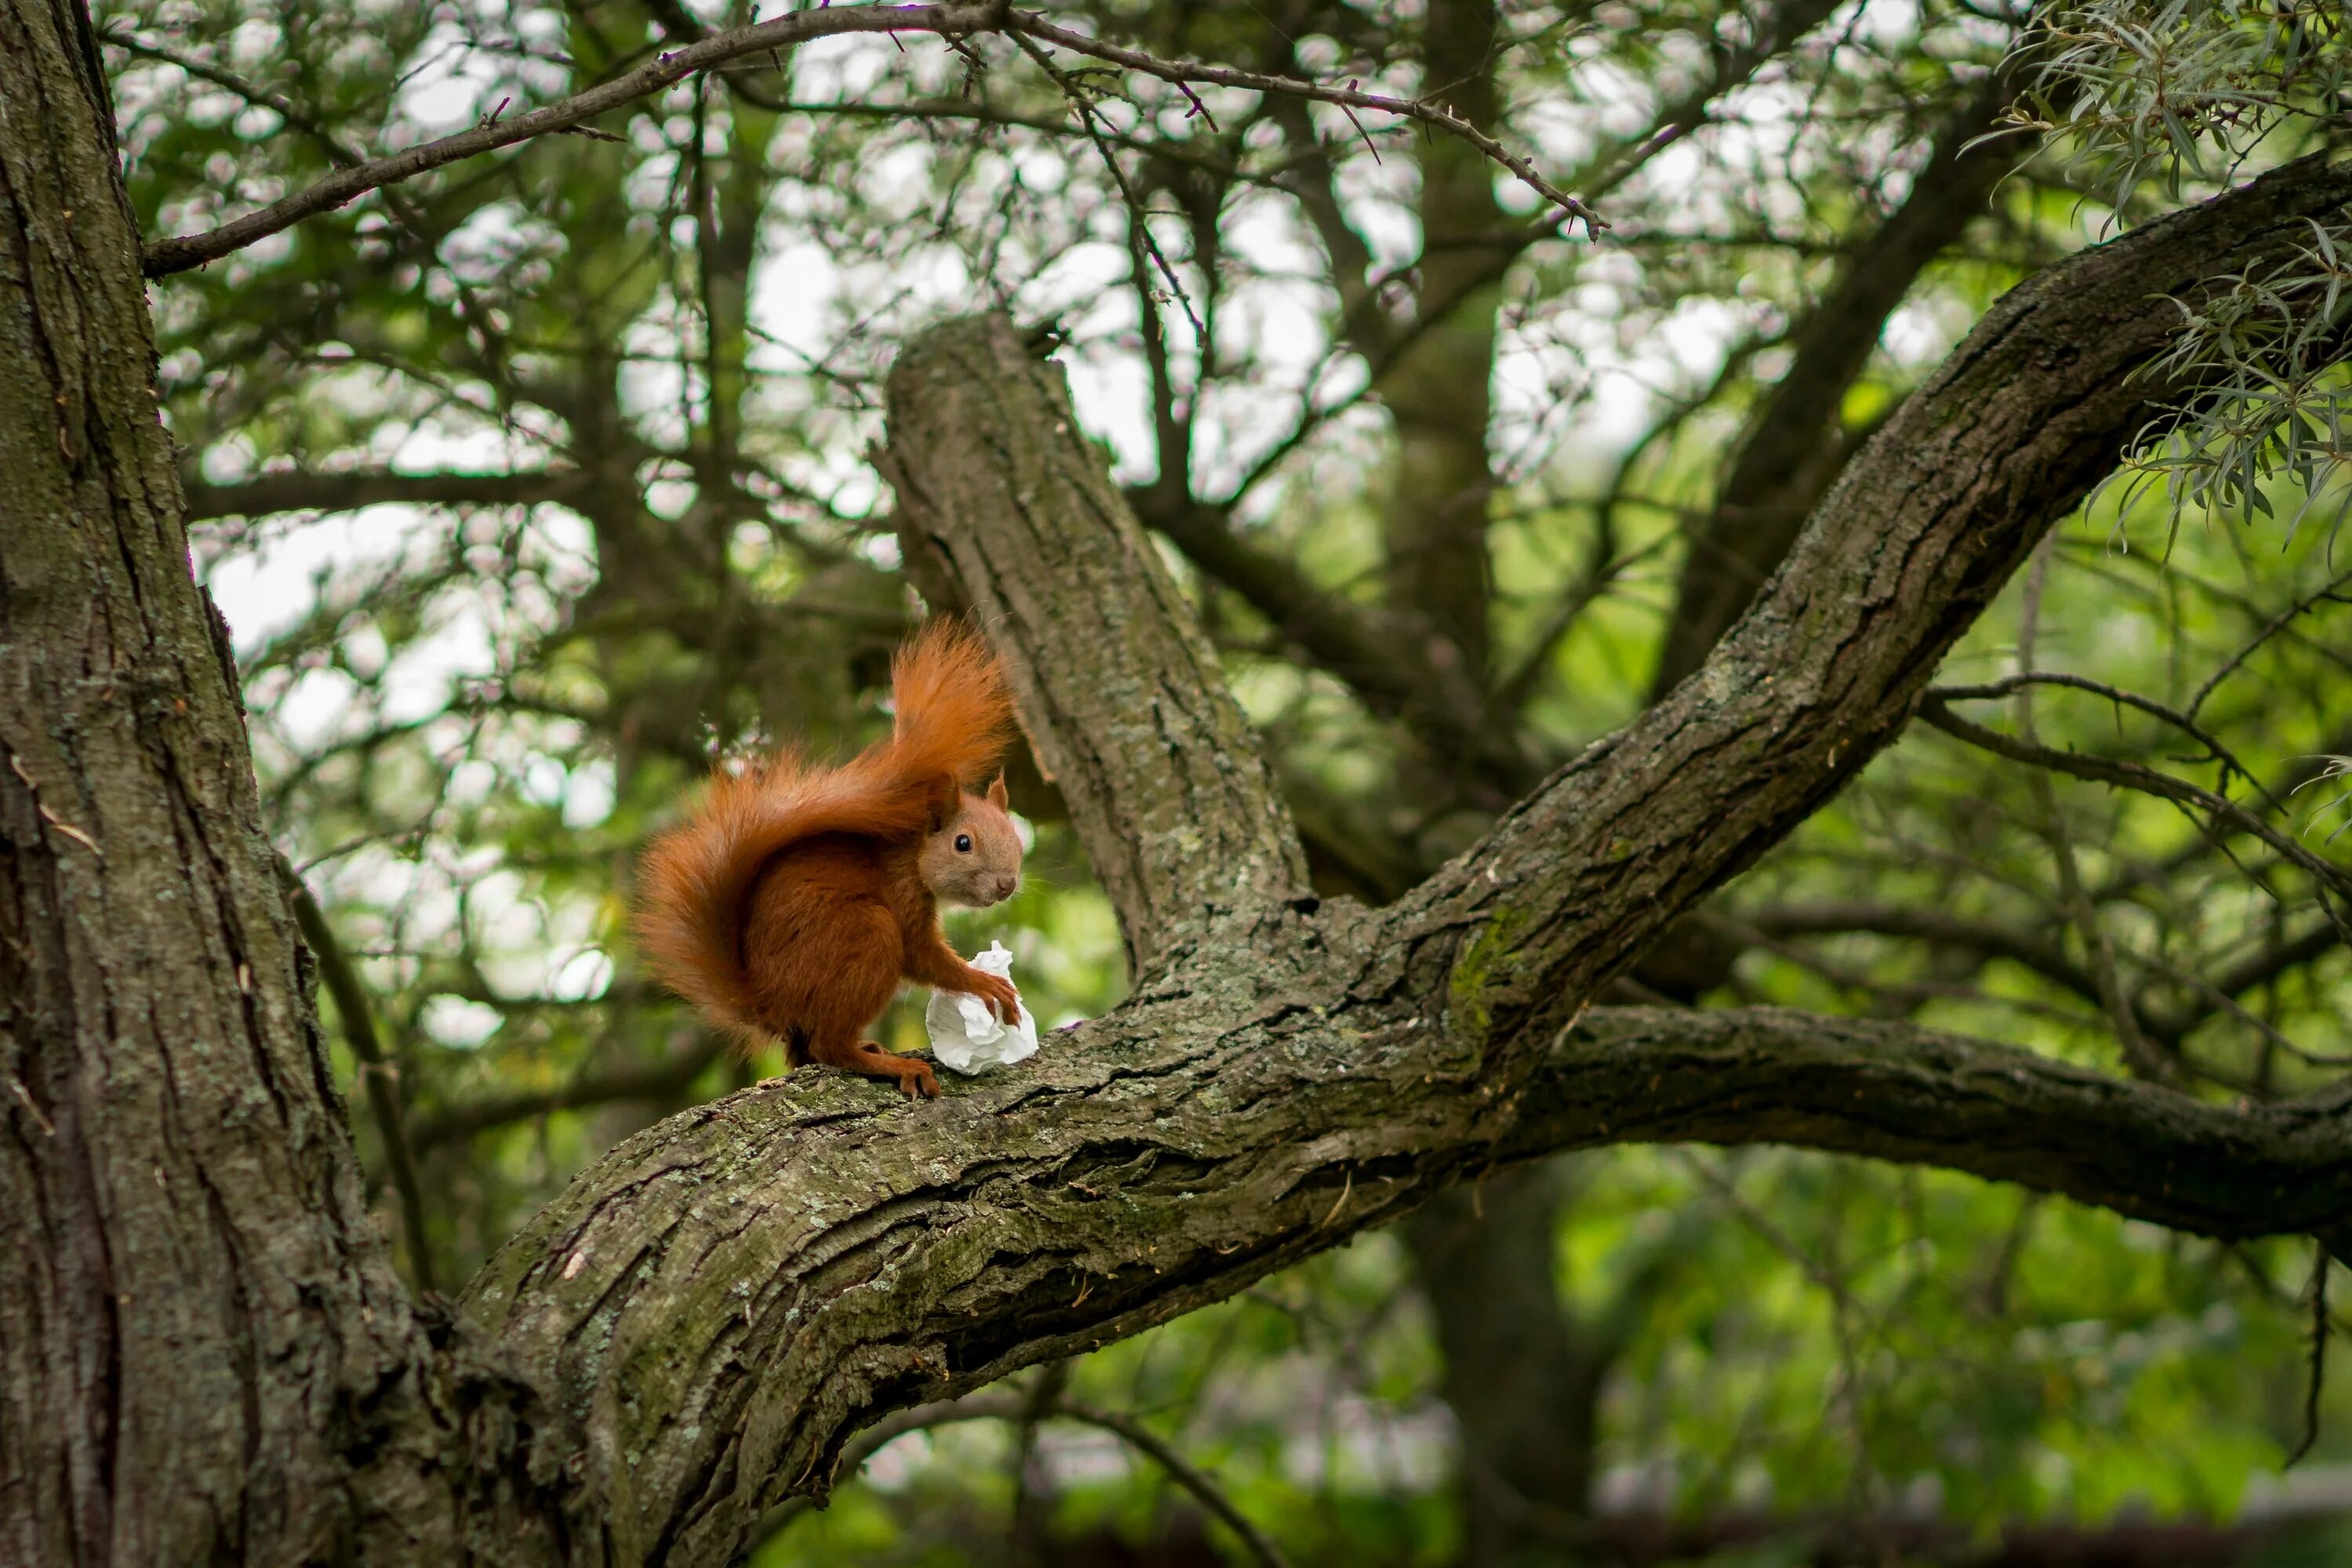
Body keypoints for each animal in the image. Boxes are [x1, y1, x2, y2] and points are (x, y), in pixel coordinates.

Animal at [630, 620, 1025, 1100]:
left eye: (1016, 838)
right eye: (962, 843)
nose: (1007, 885)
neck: (911, 855)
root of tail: (767, 999)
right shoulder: (902, 894)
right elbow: (922, 956)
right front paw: (985, 983)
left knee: (808, 1051)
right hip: (866, 935)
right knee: (828, 1046)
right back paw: (893, 1064)